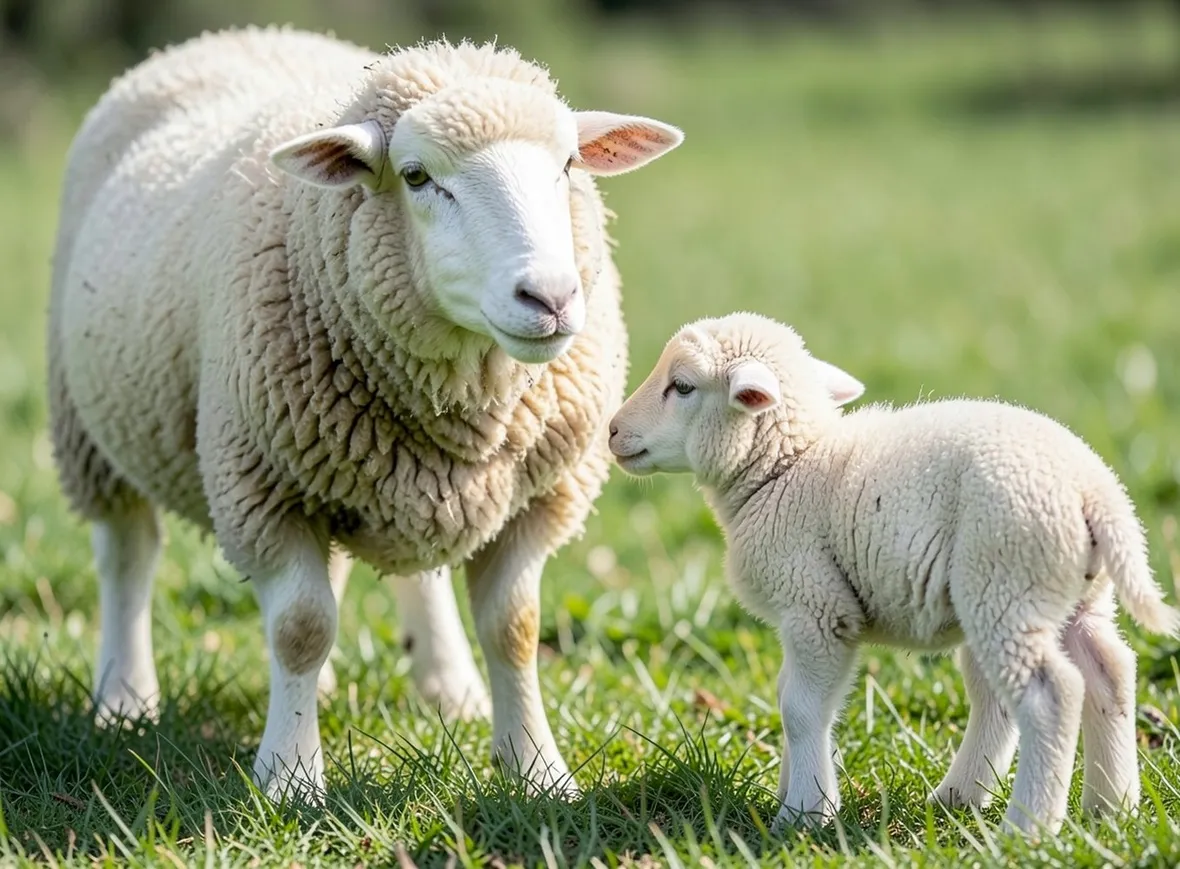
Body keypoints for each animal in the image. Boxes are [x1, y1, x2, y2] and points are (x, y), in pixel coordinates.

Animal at [47, 26, 683, 801]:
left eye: (567, 165)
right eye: (415, 176)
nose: (552, 297)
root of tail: (236, 35)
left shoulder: (536, 498)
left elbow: (516, 628)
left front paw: (537, 772)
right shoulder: (264, 488)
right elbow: (300, 627)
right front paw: (291, 779)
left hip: (392, 475)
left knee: (409, 571)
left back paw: (446, 688)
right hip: (87, 422)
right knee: (126, 554)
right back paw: (124, 699)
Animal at [607, 311, 1179, 835]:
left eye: (682, 386)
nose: (612, 430)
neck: (786, 469)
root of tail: (1095, 494)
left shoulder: (818, 605)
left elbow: (799, 709)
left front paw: (804, 817)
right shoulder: (803, 615)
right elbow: (794, 697)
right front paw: (794, 794)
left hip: (1007, 580)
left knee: (1050, 694)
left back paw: (1027, 828)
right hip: (1067, 596)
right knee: (1107, 674)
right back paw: (1107, 810)